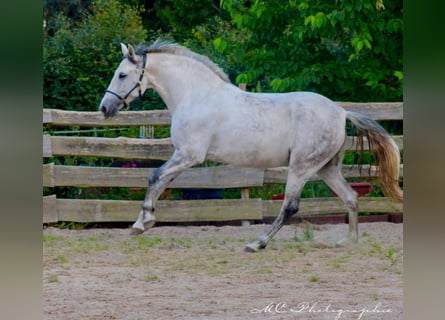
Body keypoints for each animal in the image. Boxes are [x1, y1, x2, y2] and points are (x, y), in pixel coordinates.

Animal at [98, 38, 402, 251]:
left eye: (122, 75)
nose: (104, 108)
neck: (196, 95)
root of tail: (341, 112)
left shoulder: (190, 155)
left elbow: (153, 177)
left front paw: (141, 223)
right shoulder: (182, 155)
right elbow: (161, 182)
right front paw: (144, 222)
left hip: (302, 168)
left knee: (290, 207)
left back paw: (257, 243)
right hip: (326, 168)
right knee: (351, 198)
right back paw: (348, 243)